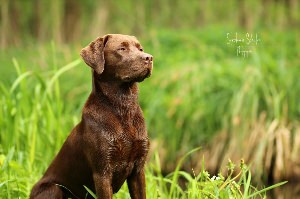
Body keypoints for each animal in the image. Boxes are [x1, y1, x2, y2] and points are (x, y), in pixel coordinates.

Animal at [29, 33, 154, 198]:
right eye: (122, 48)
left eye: (141, 49)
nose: (149, 58)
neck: (123, 109)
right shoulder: (102, 172)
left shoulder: (138, 170)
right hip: (54, 189)